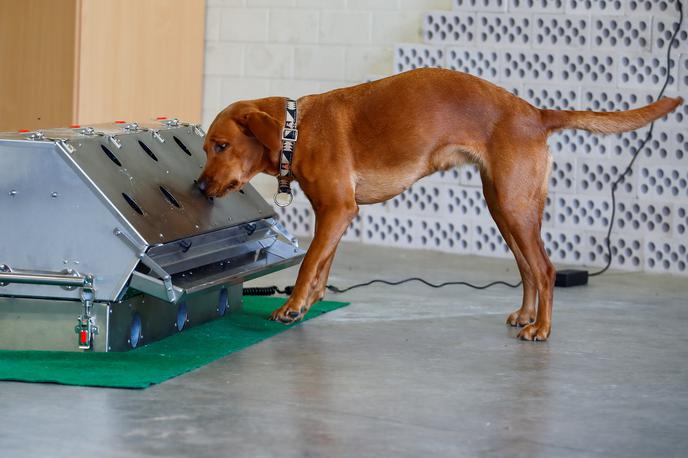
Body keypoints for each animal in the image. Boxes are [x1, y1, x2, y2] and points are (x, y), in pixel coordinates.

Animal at [199, 68, 684, 340]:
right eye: (205, 147)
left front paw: (292, 305)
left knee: (545, 270)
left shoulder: (338, 209)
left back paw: (542, 329)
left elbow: (307, 264)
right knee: (529, 269)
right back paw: (526, 316)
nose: (201, 187)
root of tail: (535, 113)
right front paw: (309, 303)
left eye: (221, 145)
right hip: (504, 207)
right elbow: (322, 264)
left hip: (514, 207)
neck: (296, 131)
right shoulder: (335, 213)